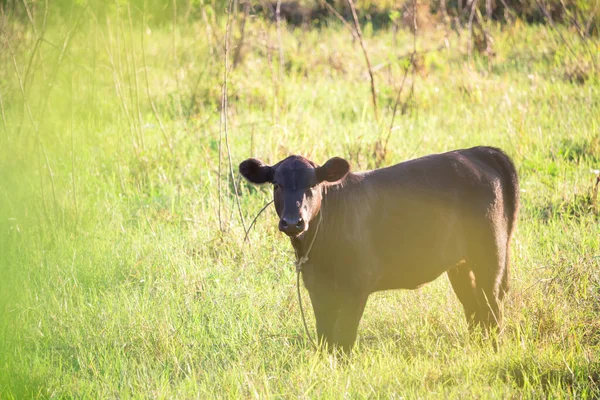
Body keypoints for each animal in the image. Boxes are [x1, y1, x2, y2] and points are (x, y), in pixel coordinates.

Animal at [239, 146, 520, 350]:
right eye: (277, 184)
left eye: (313, 185)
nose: (292, 222)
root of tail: (478, 152)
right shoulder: (316, 285)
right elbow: (325, 335)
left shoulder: (357, 284)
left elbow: (344, 335)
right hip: (460, 264)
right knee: (474, 307)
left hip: (491, 256)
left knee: (492, 306)